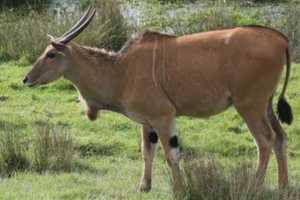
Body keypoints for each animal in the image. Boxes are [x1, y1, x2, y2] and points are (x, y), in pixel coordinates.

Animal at [24, 7, 292, 193]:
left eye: (51, 54)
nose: (26, 79)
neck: (122, 72)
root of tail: (281, 39)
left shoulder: (163, 117)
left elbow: (171, 154)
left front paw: (180, 189)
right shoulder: (147, 122)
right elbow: (147, 151)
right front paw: (144, 186)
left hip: (249, 105)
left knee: (264, 141)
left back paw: (255, 186)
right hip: (266, 105)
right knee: (280, 138)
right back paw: (283, 185)